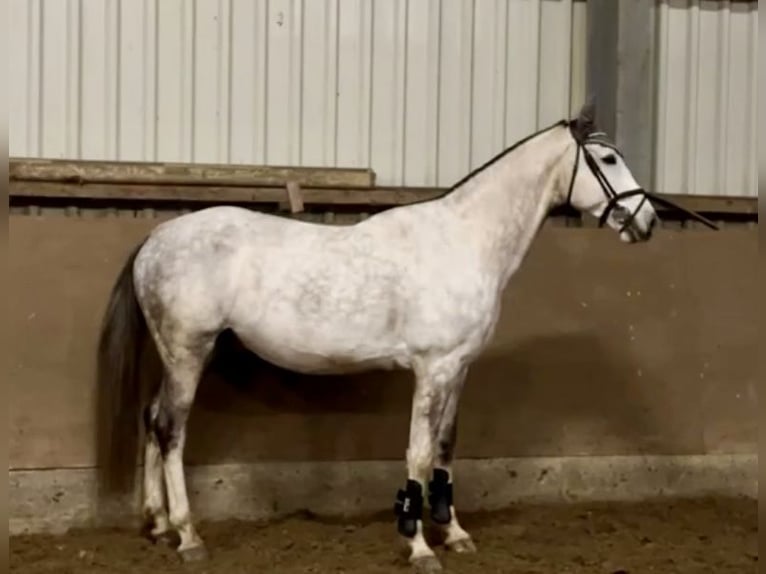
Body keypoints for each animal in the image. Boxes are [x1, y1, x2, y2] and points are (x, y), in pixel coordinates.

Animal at [94, 101, 714, 573]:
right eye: (607, 158)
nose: (647, 222)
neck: (464, 239)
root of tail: (158, 237)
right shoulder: (432, 368)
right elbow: (416, 452)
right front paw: (418, 546)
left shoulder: (459, 368)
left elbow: (445, 447)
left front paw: (454, 533)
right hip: (188, 351)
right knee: (171, 431)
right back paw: (188, 536)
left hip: (173, 357)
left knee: (152, 421)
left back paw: (156, 525)